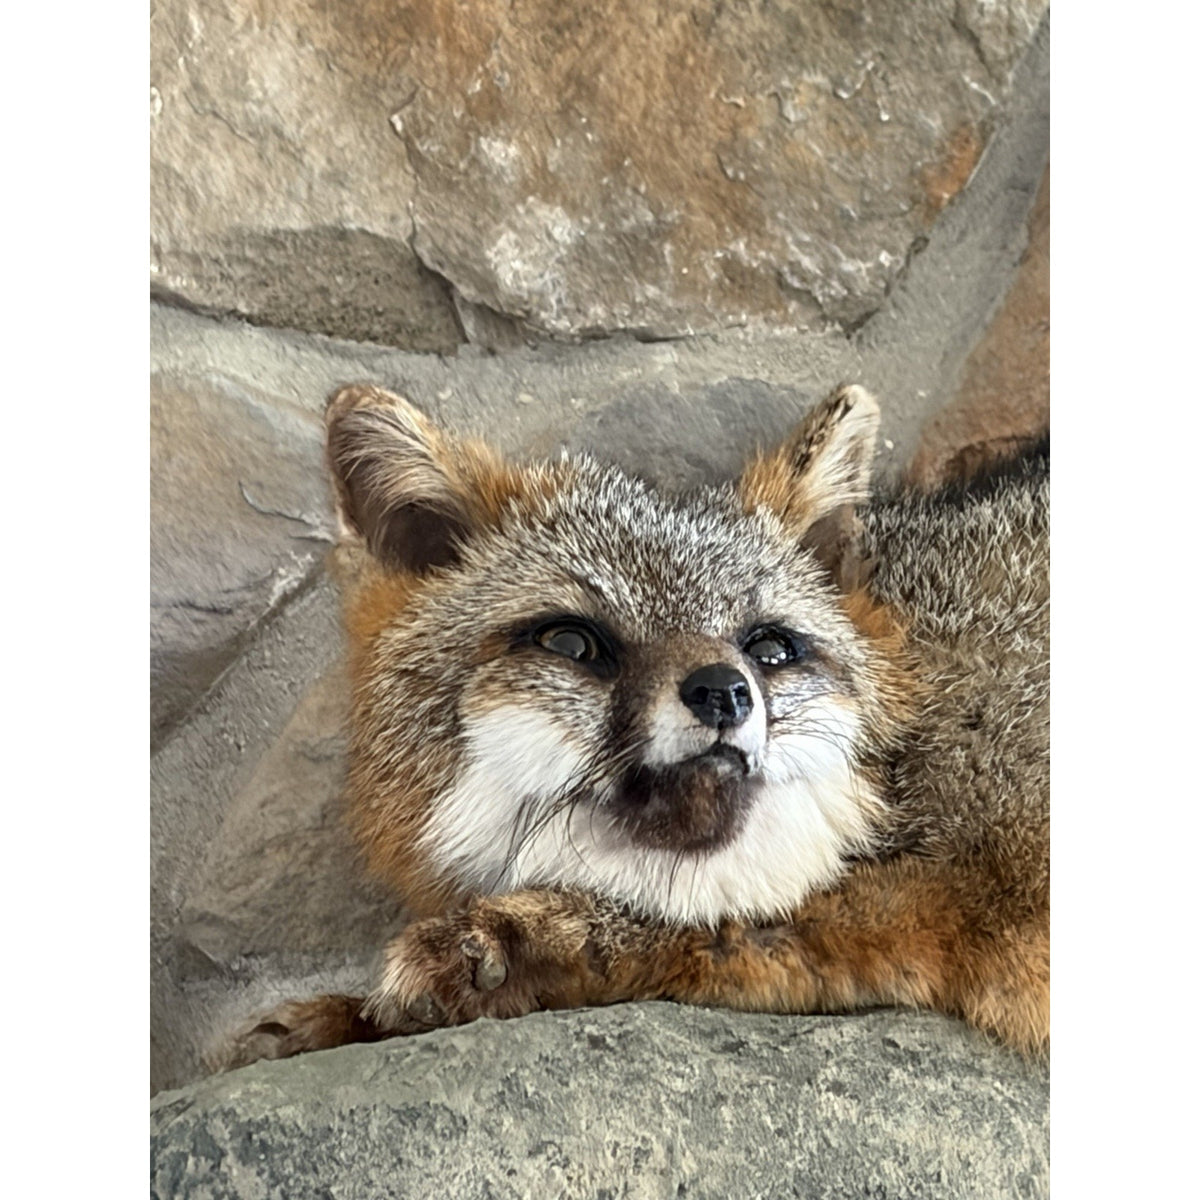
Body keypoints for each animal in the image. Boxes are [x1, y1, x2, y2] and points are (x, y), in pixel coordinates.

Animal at [226, 380, 1049, 1069]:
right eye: (571, 642)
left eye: (769, 648)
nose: (724, 691)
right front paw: (350, 1016)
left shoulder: (951, 893)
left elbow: (705, 921)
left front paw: (507, 946)